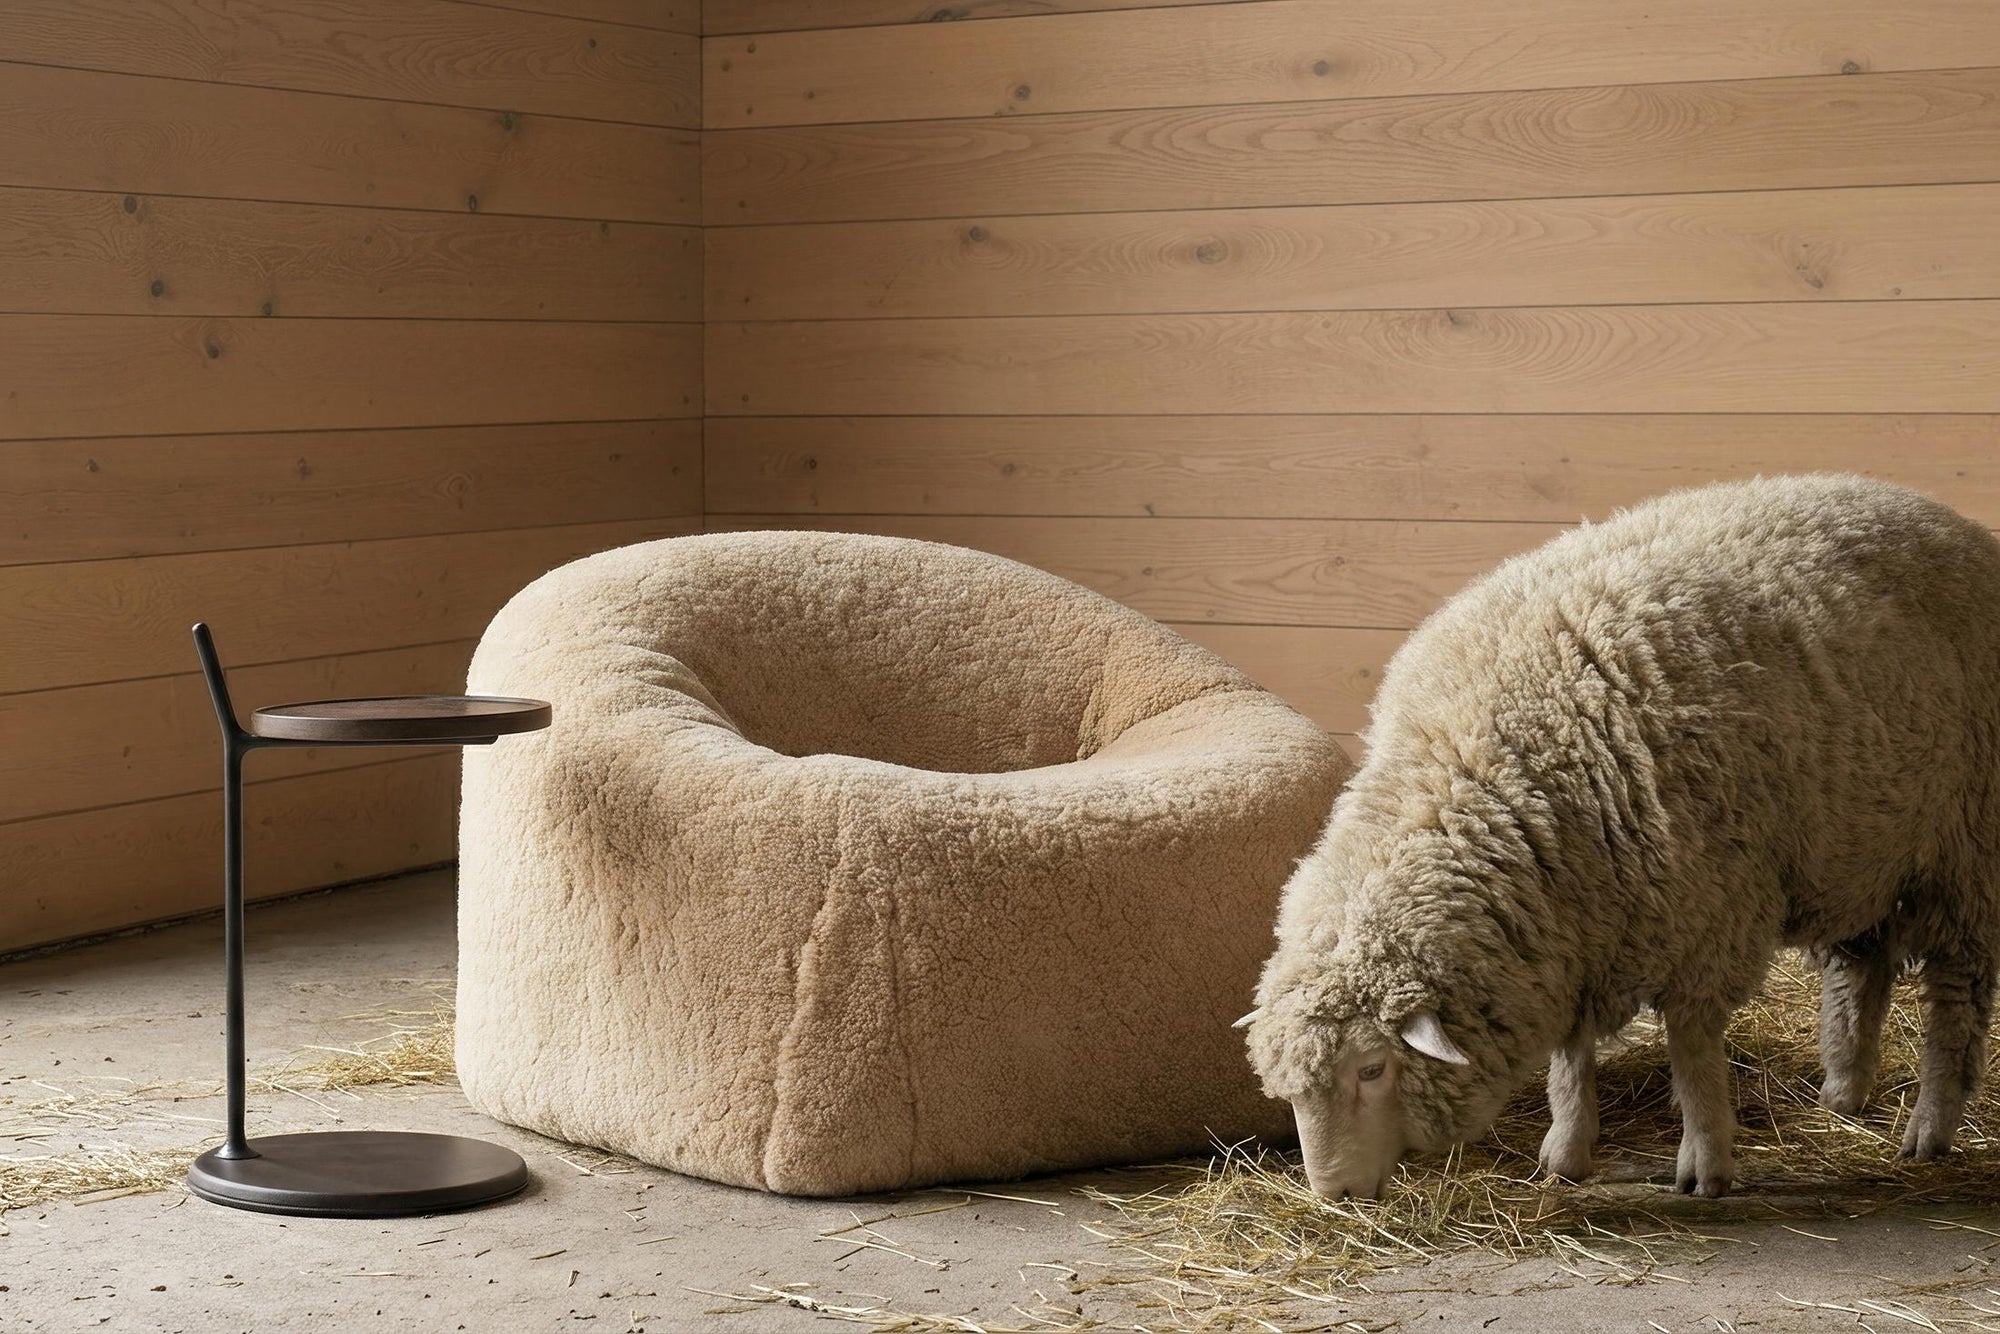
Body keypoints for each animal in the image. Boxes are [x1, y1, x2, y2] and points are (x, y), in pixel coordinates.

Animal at [1239, 474, 2000, 1200]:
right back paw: (1842, 1093)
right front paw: (1567, 1150)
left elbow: (1691, 1052)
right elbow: (1569, 1054)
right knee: (1860, 969)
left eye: (1371, 1069)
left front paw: (1705, 1162)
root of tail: (1958, 526)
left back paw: (1929, 1131)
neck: (1488, 768)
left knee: (1955, 1000)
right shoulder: (1571, 930)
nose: (1332, 1192)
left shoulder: (1707, 917)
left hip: (1968, 853)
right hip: (1861, 851)